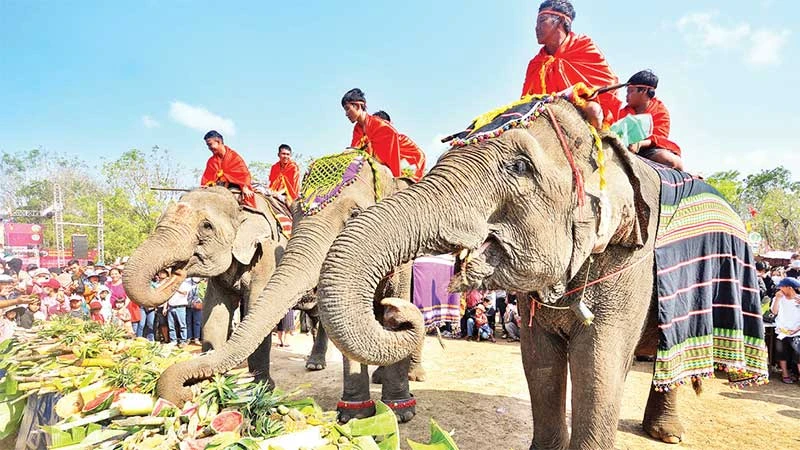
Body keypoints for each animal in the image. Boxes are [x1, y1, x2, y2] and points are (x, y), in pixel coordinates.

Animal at [123, 186, 290, 384]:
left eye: (206, 226)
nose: (175, 271)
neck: (239, 202)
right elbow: (214, 312)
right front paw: (212, 383)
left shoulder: (266, 255)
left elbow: (255, 306)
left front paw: (262, 387)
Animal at [157, 151, 428, 422]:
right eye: (295, 215)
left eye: (206, 226)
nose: (185, 392)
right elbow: (214, 313)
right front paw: (356, 416)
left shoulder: (266, 256)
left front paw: (401, 412)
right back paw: (320, 365)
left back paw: (412, 375)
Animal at [314, 96, 768, 448]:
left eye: (519, 166)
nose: (392, 307)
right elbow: (538, 361)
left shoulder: (630, 261)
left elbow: (598, 363)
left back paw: (668, 435)